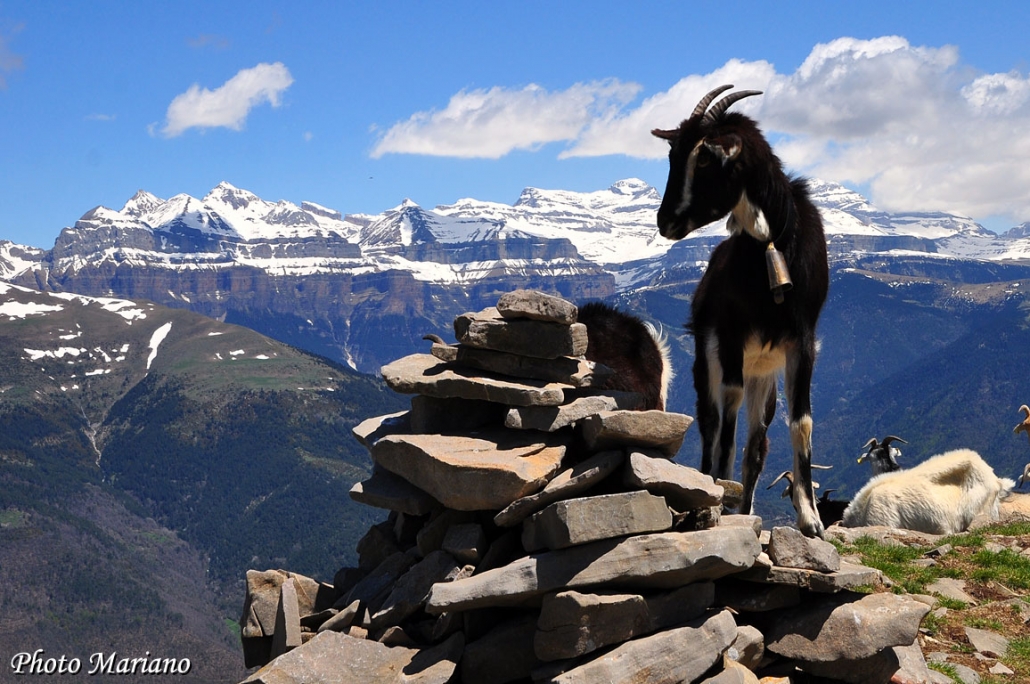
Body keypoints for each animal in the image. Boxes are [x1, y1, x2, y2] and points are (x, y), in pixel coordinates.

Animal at [652, 84, 829, 537]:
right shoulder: (730, 335)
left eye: (705, 158)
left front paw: (811, 519)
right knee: (713, 425)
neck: (771, 245)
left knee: (756, 445)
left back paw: (745, 506)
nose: (665, 222)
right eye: (672, 155)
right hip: (706, 362)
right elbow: (724, 427)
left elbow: (801, 423)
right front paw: (719, 495)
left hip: (763, 380)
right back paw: (717, 490)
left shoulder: (802, 340)